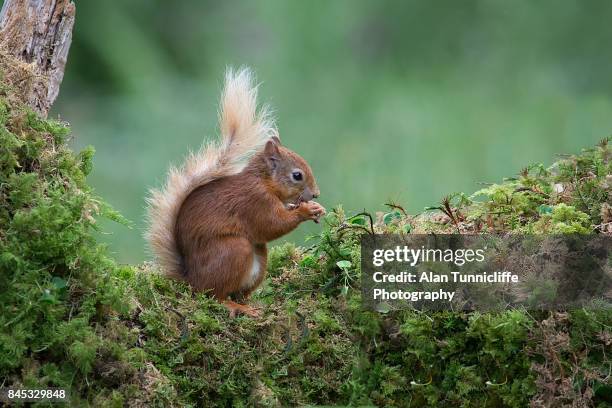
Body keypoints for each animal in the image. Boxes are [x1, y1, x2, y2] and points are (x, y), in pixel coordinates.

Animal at [145, 68, 326, 318]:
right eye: (297, 175)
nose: (316, 194)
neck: (264, 182)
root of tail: (190, 280)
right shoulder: (254, 201)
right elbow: (271, 224)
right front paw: (306, 211)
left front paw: (316, 208)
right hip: (233, 251)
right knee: (214, 295)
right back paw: (234, 306)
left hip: (259, 258)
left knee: (238, 291)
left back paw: (250, 304)